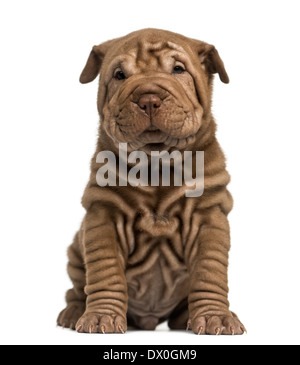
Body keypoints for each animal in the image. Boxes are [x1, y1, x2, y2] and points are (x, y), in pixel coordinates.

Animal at [57, 29, 245, 336]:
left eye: (178, 69)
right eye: (120, 74)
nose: (149, 98)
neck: (157, 163)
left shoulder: (209, 216)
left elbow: (209, 272)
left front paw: (216, 318)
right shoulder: (103, 215)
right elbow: (105, 271)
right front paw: (100, 317)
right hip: (75, 250)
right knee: (76, 288)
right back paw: (73, 313)